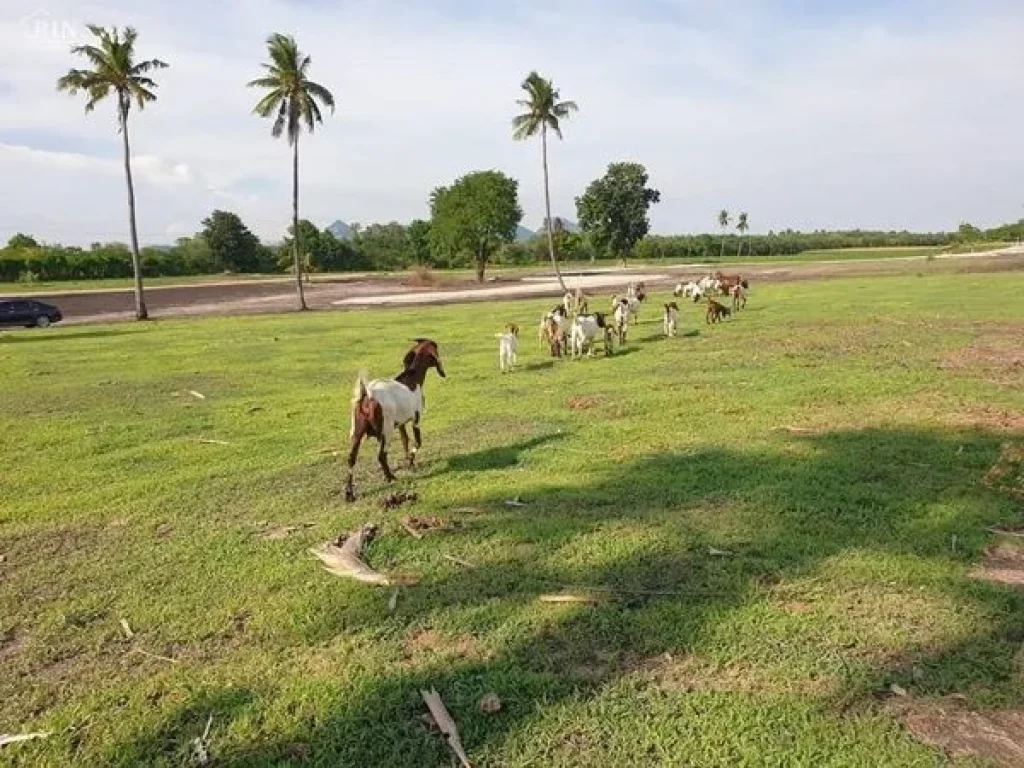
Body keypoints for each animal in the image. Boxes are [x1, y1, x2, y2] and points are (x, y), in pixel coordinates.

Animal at [346, 339, 446, 501]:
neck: (413, 378)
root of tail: (367, 395)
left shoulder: (401, 424)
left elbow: (405, 440)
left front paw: (408, 460)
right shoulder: (416, 420)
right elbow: (418, 442)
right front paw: (411, 461)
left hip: (357, 433)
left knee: (351, 459)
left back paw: (349, 493)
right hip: (386, 432)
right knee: (381, 456)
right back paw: (390, 477)